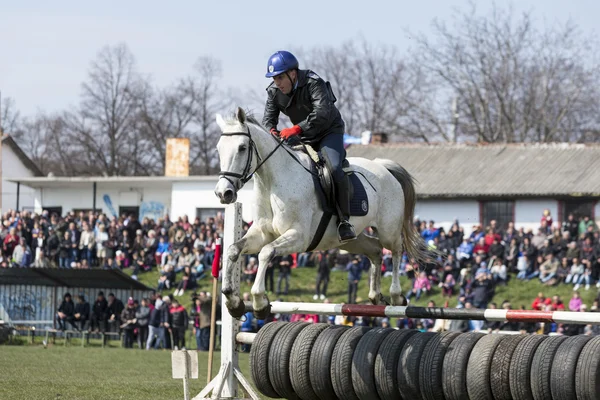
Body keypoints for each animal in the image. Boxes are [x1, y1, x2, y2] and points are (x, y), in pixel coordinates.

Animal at [213, 106, 428, 318]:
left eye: (242, 148)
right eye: (219, 149)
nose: (224, 193)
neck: (272, 182)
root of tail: (383, 167)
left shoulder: (299, 236)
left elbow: (266, 253)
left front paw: (259, 302)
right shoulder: (262, 233)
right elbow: (233, 250)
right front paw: (232, 301)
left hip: (388, 231)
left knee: (396, 250)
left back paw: (396, 295)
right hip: (349, 240)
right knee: (374, 249)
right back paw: (376, 296)